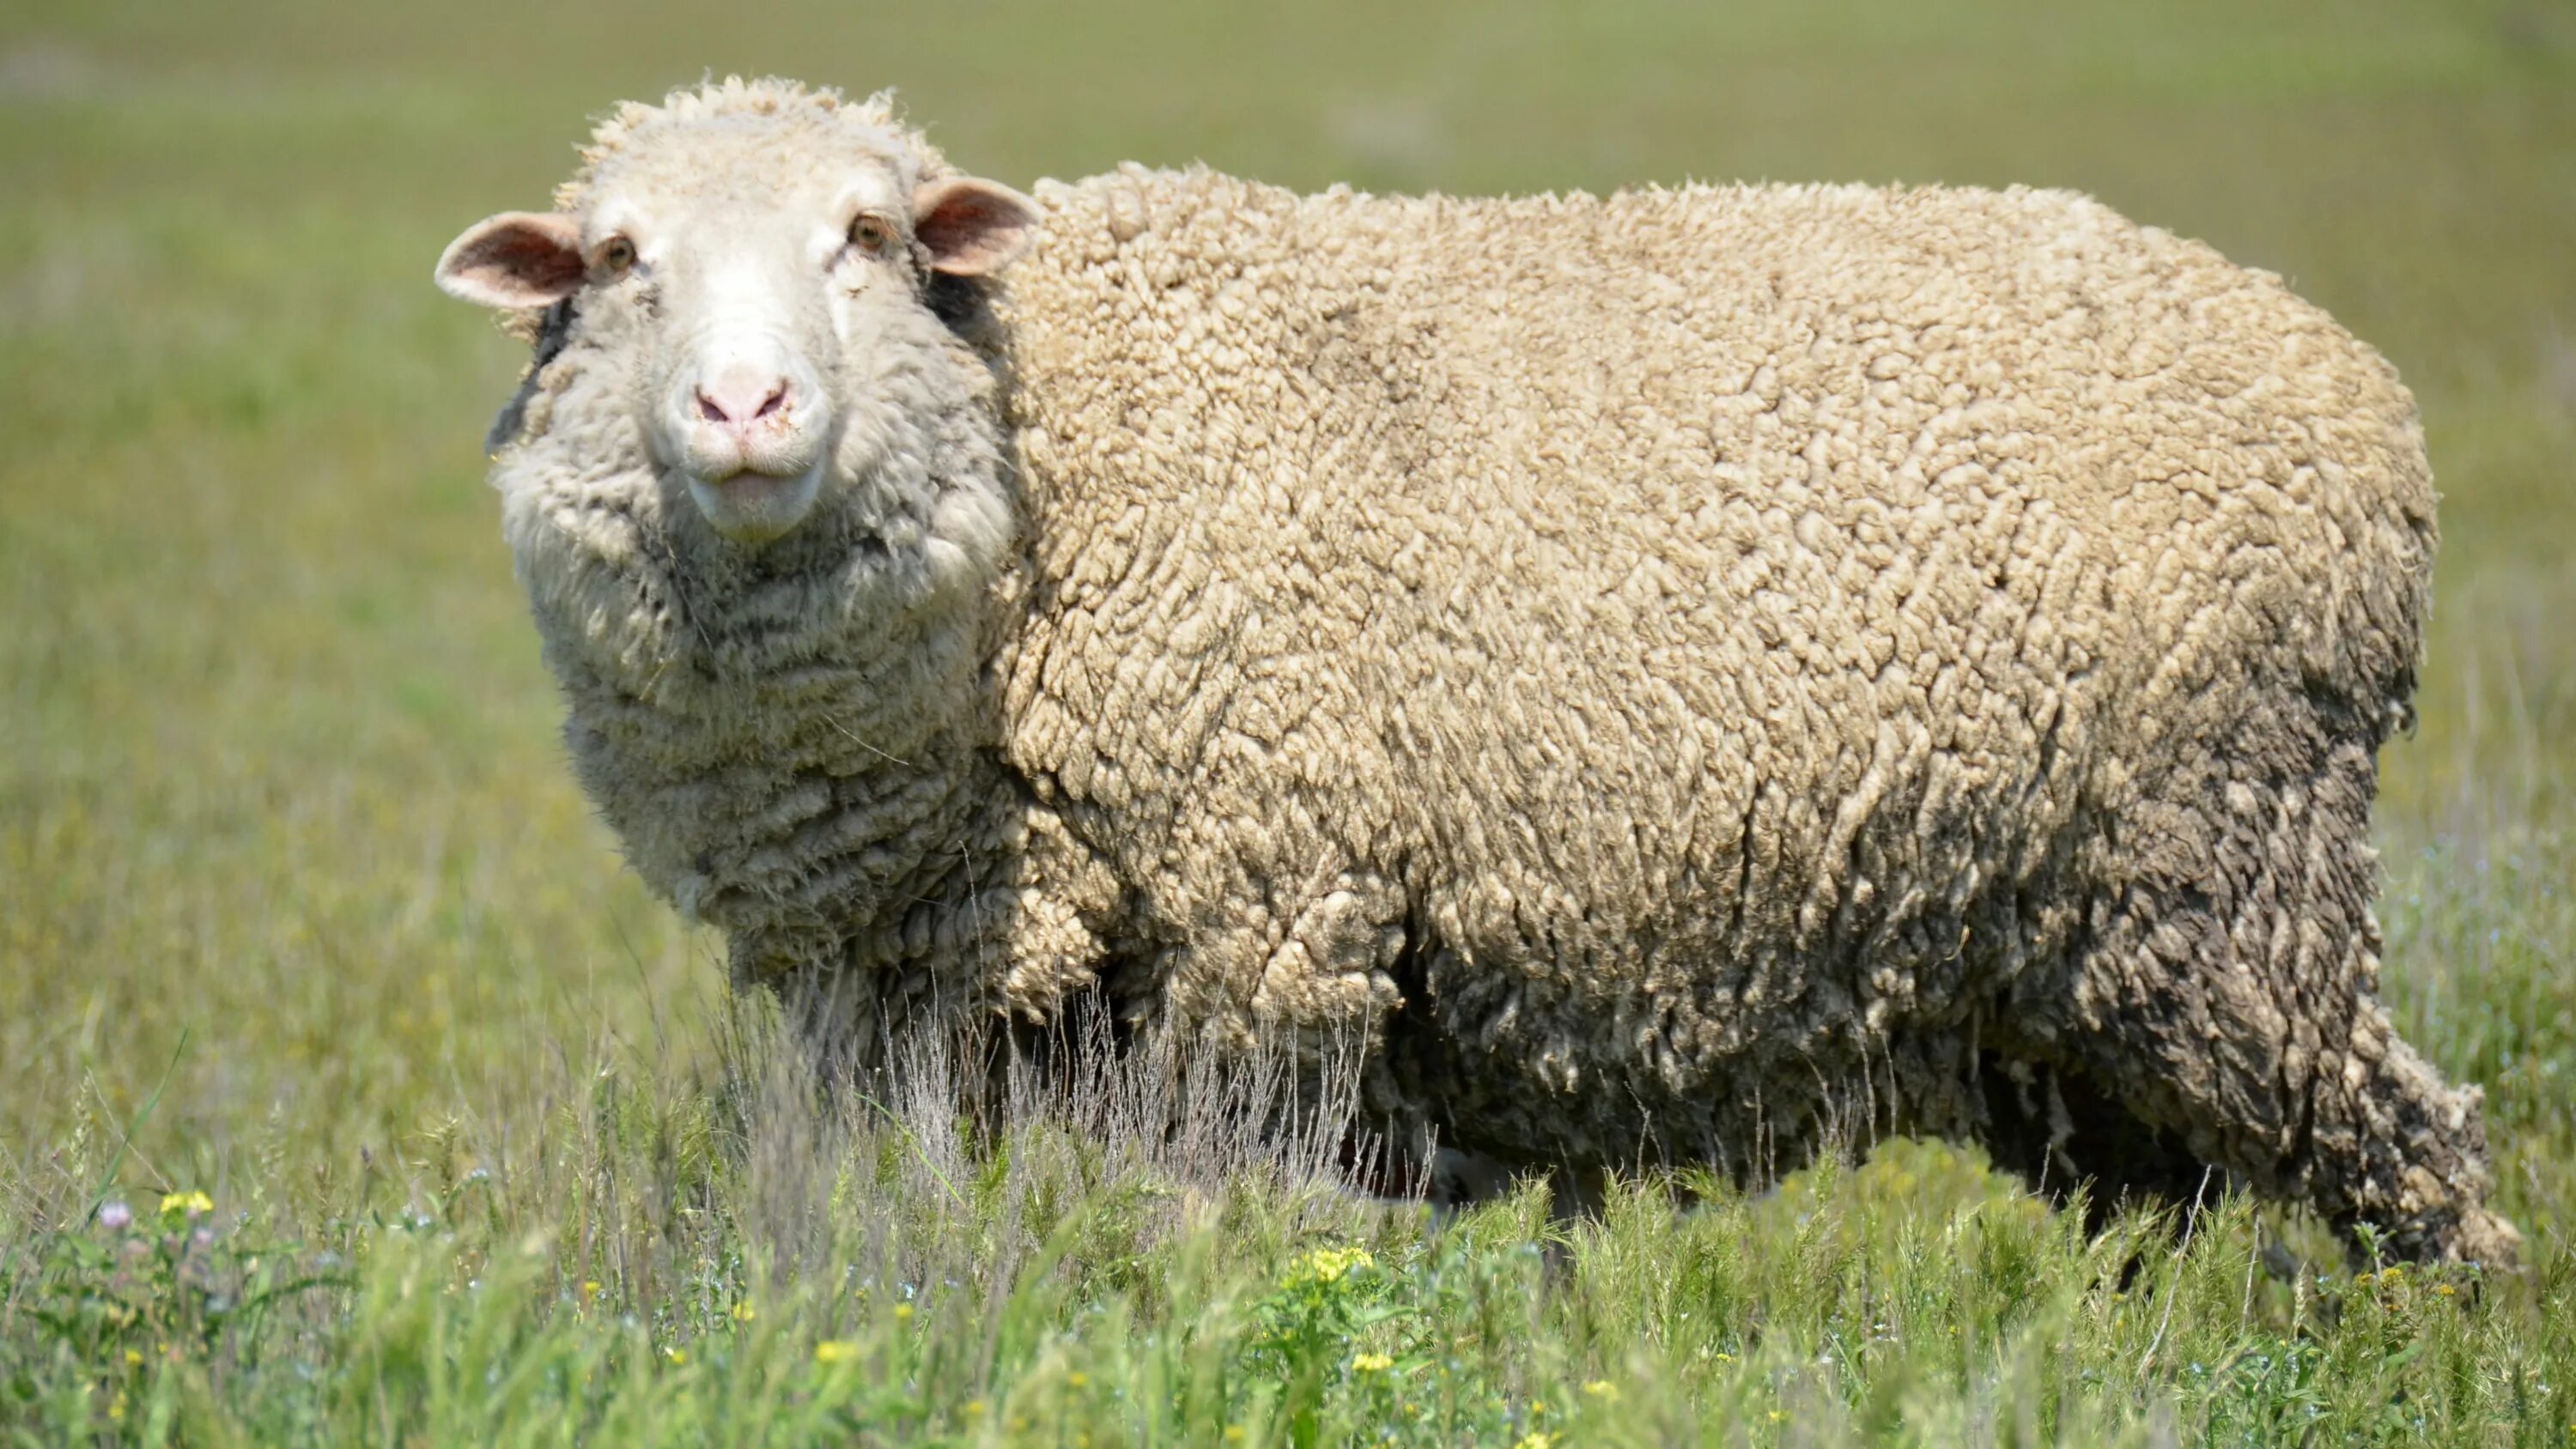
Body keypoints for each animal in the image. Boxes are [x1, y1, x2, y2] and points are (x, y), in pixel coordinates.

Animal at [438, 76, 2514, 1271]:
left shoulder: (1265, 907)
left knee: (2420, 1163)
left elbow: (1195, 1223)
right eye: (613, 260)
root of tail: (2355, 387)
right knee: (2162, 1209)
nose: (743, 408)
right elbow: (924, 1223)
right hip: (2069, 979)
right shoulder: (896, 991)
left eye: (867, 236)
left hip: (2228, 887)